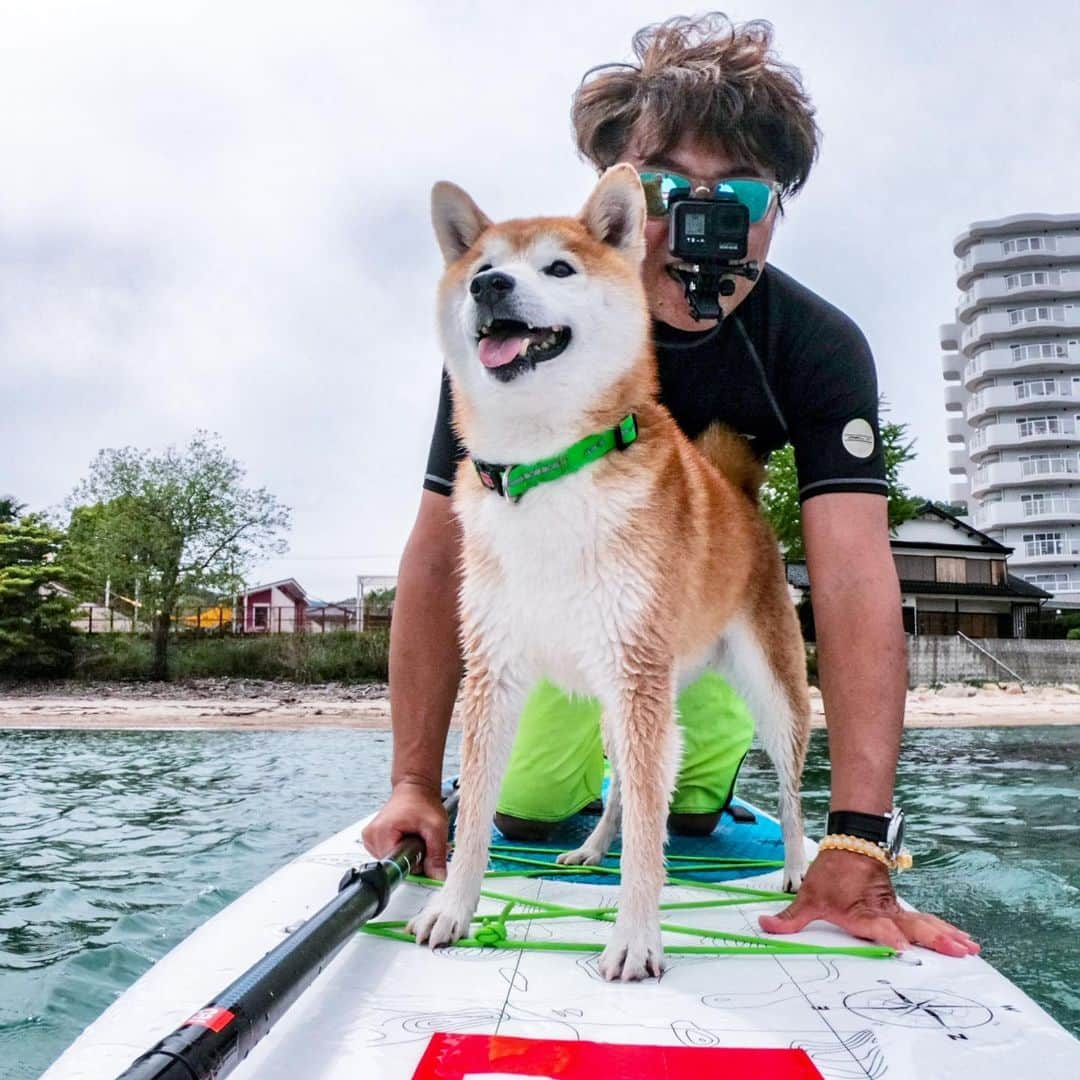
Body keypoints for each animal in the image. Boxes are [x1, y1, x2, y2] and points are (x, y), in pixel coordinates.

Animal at [408, 164, 807, 984]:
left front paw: (636, 936)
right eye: (480, 266)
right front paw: (452, 908)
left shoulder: (636, 671)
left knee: (786, 788)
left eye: (559, 268)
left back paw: (793, 867)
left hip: (762, 688)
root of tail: (741, 497)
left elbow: (653, 838)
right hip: (622, 698)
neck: (545, 469)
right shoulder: (495, 670)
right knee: (625, 788)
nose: (490, 286)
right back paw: (591, 848)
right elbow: (477, 819)